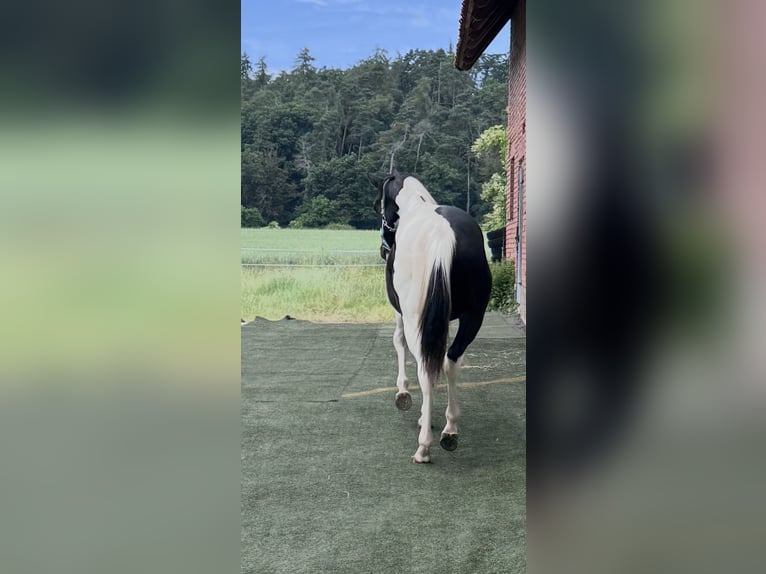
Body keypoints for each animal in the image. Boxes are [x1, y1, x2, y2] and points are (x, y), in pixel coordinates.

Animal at [368, 171, 492, 463]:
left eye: (378, 205)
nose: (383, 250)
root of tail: (442, 234)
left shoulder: (402, 313)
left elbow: (398, 341)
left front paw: (403, 394)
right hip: (473, 318)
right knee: (450, 360)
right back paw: (450, 429)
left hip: (416, 317)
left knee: (426, 368)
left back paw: (424, 446)